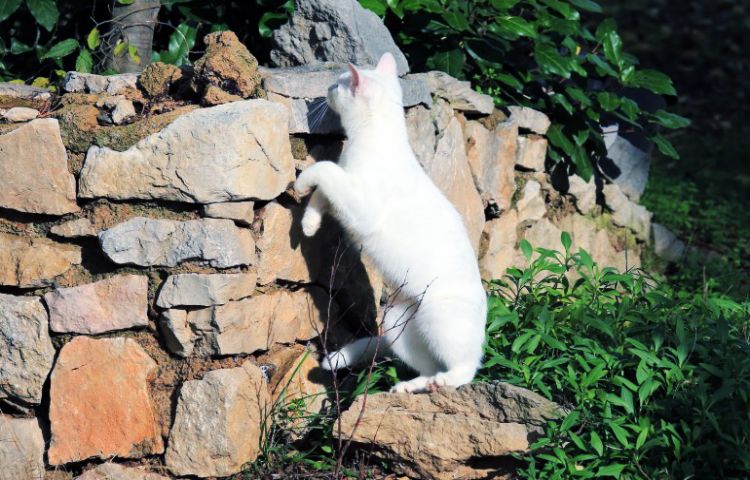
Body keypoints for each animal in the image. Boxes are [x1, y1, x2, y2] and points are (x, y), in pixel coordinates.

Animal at [294, 51, 488, 394]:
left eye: (339, 84)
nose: (327, 88)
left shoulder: (360, 205)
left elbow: (324, 169)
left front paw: (301, 183)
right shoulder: (345, 189)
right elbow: (321, 191)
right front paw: (310, 223)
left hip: (440, 318)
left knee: (465, 368)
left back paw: (444, 381)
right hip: (396, 321)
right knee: (427, 364)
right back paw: (412, 386)